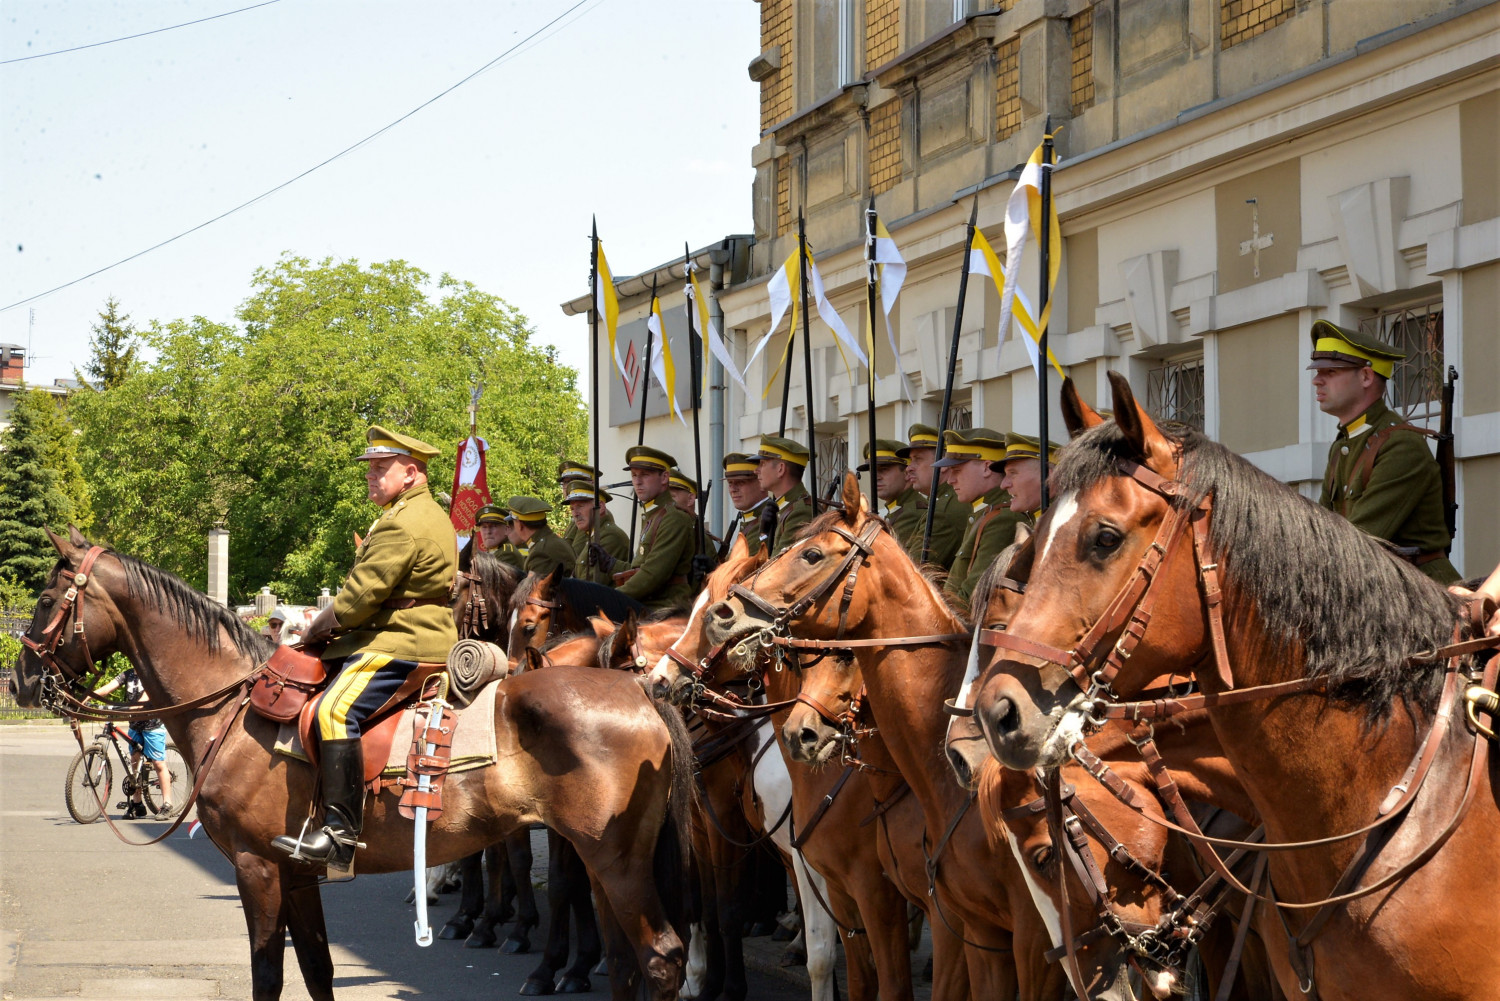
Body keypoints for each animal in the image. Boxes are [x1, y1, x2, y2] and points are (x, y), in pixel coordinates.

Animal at [13, 529, 693, 1001]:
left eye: (45, 598)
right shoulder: (295, 875)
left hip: (616, 860)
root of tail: (639, 689)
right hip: (599, 861)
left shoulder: (258, 870)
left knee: (660, 957)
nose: (18, 681)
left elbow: (268, 976)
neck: (232, 704)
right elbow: (317, 969)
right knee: (624, 961)